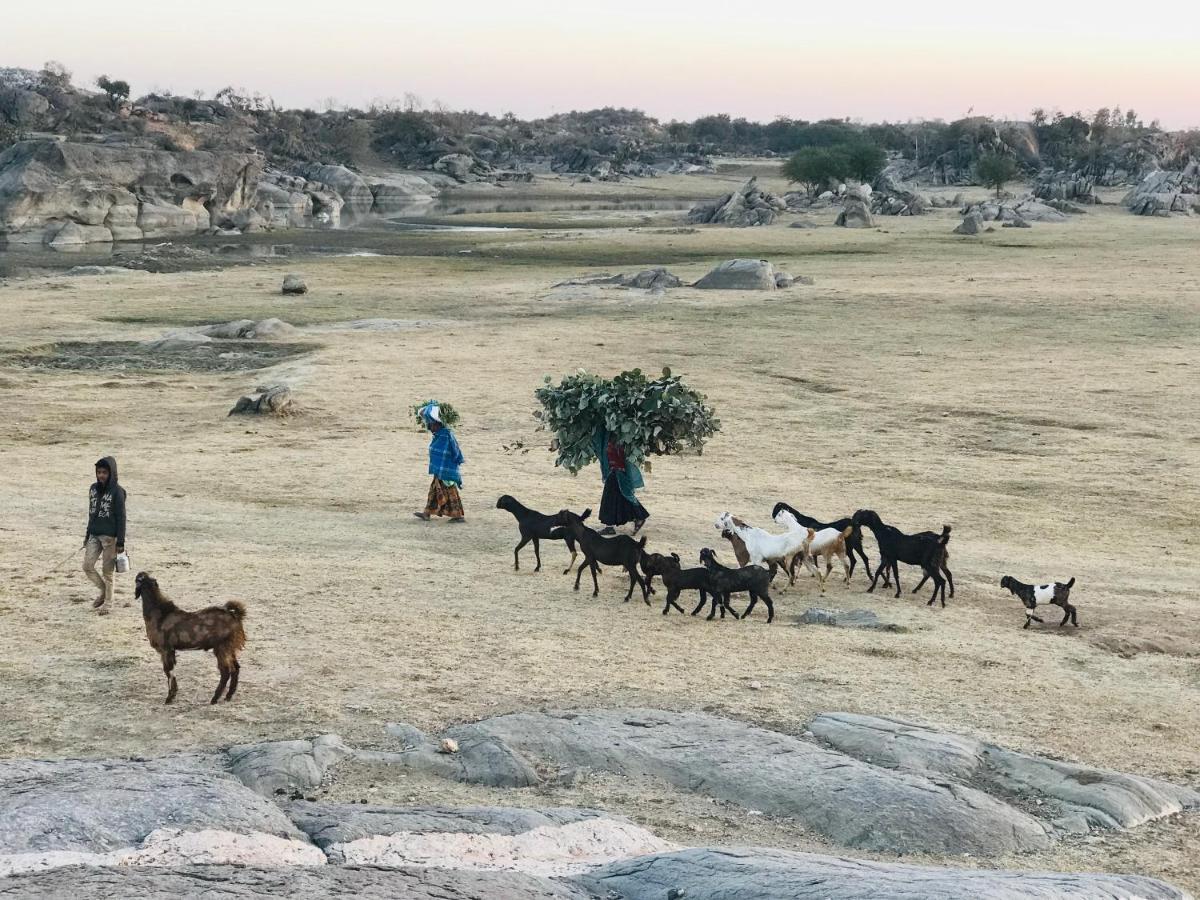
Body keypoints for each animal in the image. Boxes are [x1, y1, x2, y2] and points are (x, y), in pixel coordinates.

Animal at [135, 573, 246, 710]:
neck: (159, 614)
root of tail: (235, 616)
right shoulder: (171, 651)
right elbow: (172, 672)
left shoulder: (165, 650)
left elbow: (169, 672)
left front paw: (169, 698)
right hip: (230, 648)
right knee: (236, 668)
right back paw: (228, 696)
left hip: (221, 648)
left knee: (226, 671)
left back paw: (214, 699)